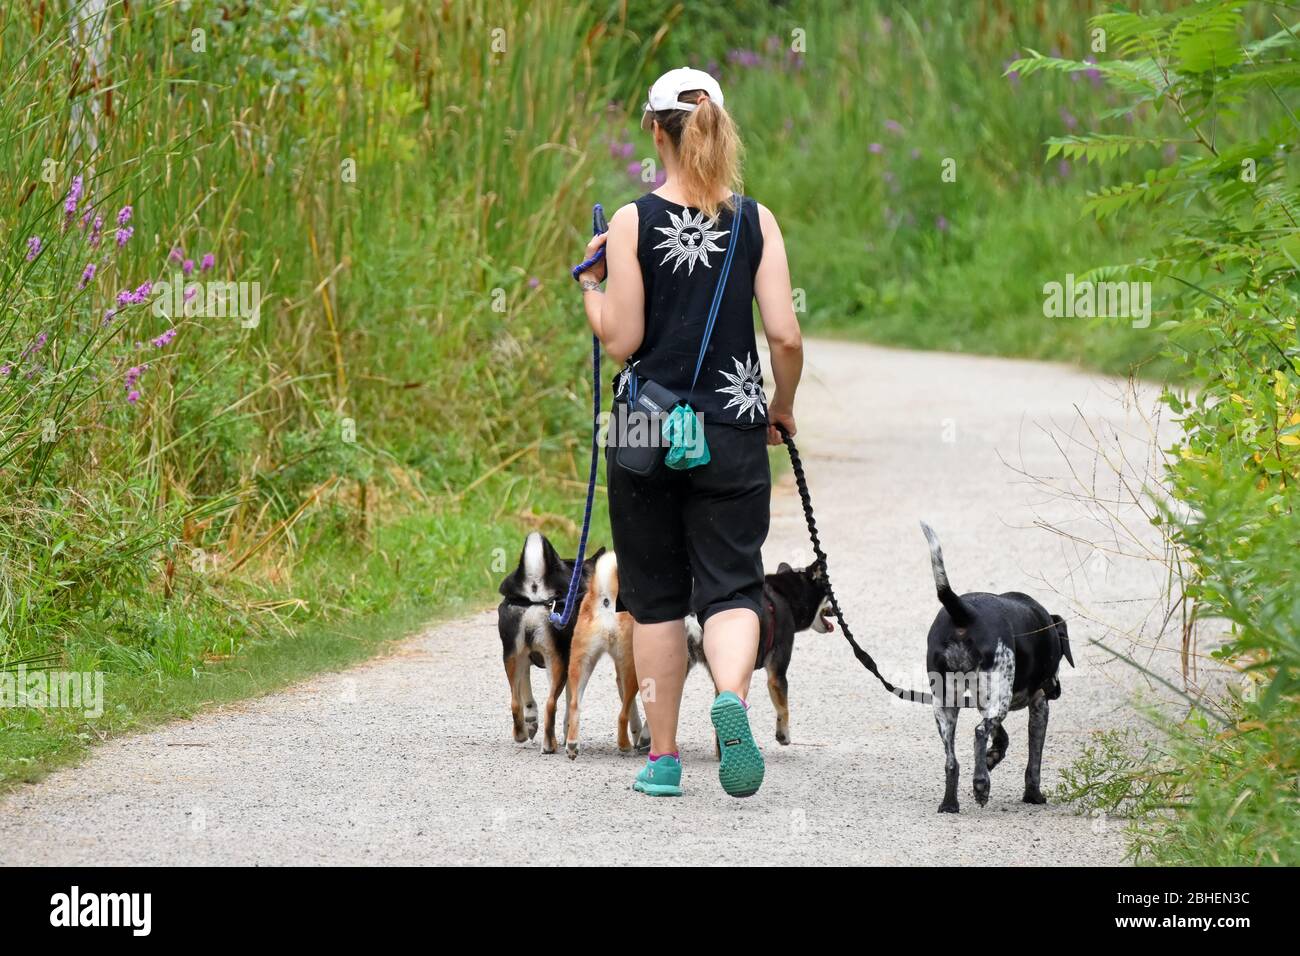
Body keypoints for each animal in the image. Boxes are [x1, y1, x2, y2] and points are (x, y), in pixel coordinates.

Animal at [686, 561, 837, 749]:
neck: (786, 597)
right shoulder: (777, 674)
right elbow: (784, 709)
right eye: (829, 595)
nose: (836, 610)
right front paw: (783, 735)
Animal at [925, 522, 1076, 816]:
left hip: (947, 705)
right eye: (1061, 656)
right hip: (997, 699)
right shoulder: (1039, 706)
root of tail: (963, 611)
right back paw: (981, 784)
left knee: (952, 761)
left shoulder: (985, 702)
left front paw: (991, 757)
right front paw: (1033, 795)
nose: (1057, 691)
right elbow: (1034, 761)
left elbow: (1001, 738)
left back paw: (950, 803)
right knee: (979, 733)